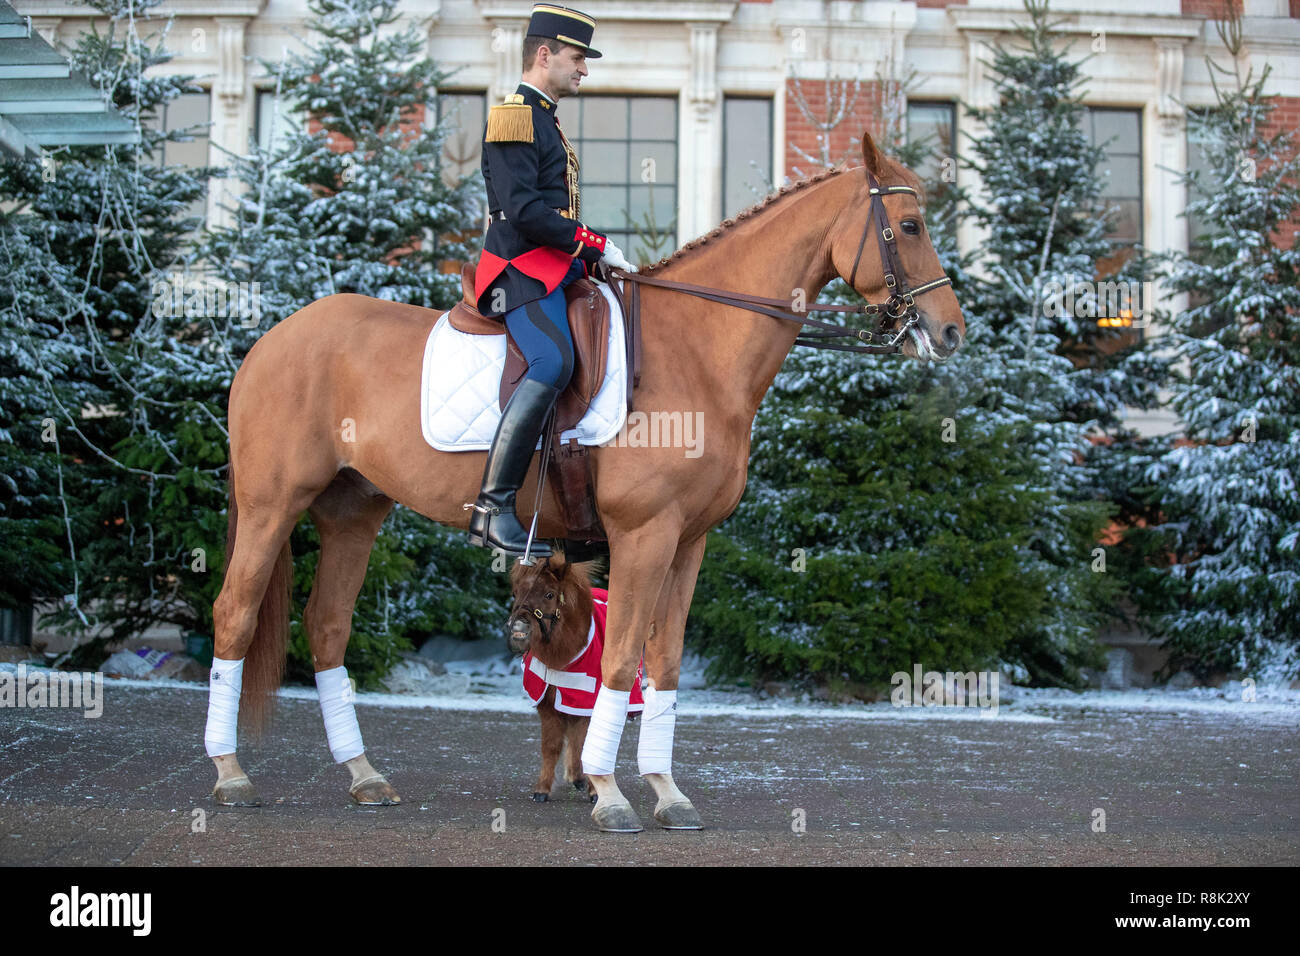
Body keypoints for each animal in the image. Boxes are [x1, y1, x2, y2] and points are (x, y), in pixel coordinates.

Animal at [208, 132, 967, 832]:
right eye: (909, 226)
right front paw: (608, 792)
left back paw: (364, 776)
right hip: (273, 506)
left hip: (353, 512)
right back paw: (230, 773)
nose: (951, 331)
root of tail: (271, 338)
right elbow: (623, 660)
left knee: (327, 626)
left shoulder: (688, 543)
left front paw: (667, 793)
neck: (695, 348)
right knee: (234, 615)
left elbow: (665, 664)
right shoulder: (642, 535)